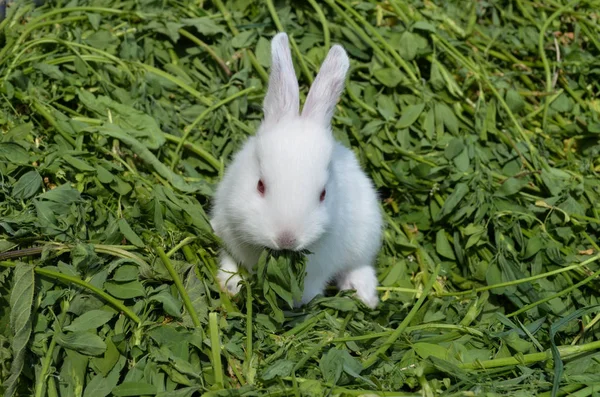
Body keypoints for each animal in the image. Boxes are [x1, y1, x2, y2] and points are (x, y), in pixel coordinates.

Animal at [209, 32, 382, 308]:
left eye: (323, 194)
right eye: (260, 185)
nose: (286, 240)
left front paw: (299, 301)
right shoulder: (227, 229)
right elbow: (230, 261)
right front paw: (230, 286)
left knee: (359, 266)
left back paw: (365, 296)